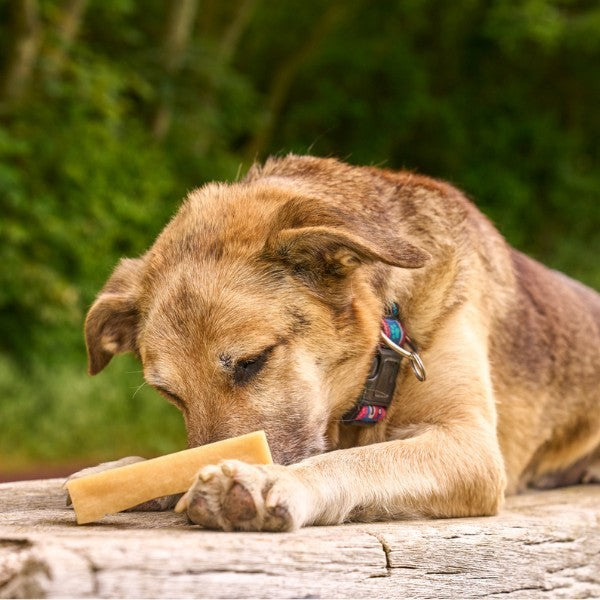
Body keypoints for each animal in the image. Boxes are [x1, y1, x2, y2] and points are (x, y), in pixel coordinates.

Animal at [81, 154, 600, 528]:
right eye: (168, 393)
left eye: (252, 361)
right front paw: (126, 472)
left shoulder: (469, 443)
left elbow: (356, 462)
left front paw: (270, 479)